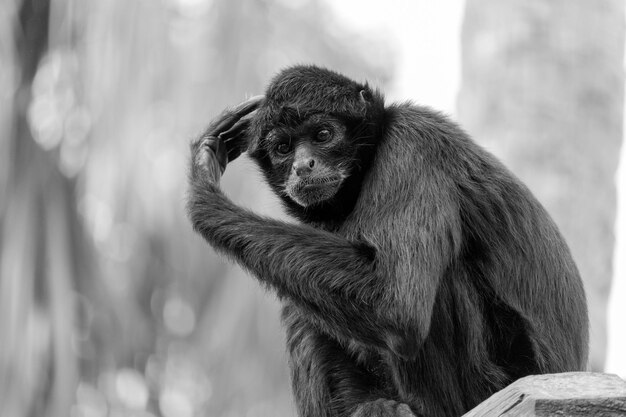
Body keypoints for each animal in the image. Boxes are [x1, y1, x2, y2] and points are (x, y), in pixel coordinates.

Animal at [188, 65, 588, 416]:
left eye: (322, 135)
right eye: (284, 148)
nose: (303, 166)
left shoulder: (413, 145)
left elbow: (396, 304)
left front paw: (204, 193)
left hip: (490, 377)